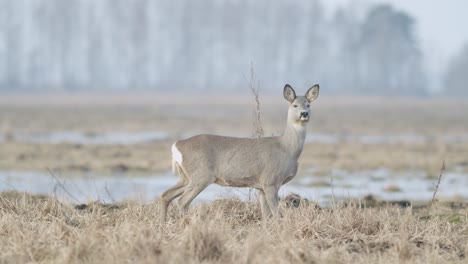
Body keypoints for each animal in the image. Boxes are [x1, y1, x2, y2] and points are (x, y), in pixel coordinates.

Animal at [160, 83, 318, 222]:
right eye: (295, 105)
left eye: (308, 105)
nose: (304, 114)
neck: (287, 149)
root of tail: (178, 144)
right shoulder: (270, 181)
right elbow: (277, 215)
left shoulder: (260, 186)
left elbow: (266, 216)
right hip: (201, 175)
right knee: (182, 201)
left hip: (186, 176)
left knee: (165, 195)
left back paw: (164, 224)